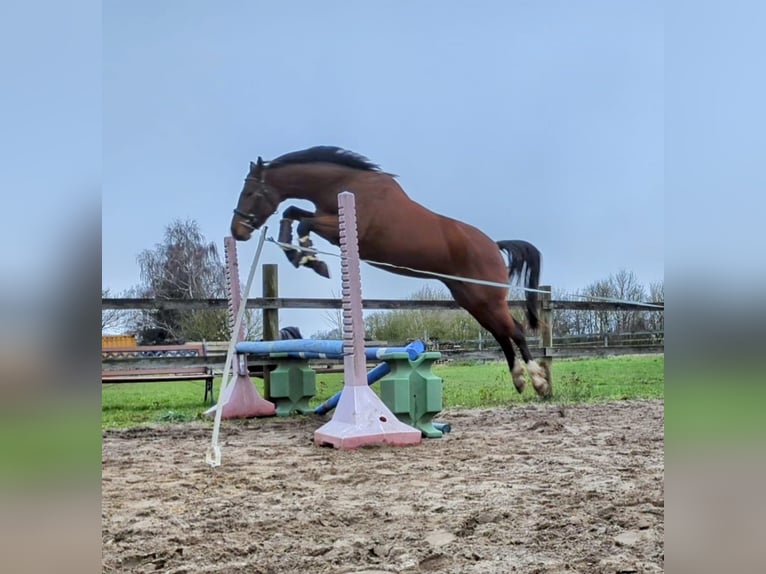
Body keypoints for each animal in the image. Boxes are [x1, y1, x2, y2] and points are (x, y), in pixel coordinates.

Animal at [230, 146, 552, 398]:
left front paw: (310, 259)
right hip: (472, 300)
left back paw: (538, 383)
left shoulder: (338, 229)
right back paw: (520, 380)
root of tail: (493, 246)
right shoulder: (324, 218)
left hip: (487, 299)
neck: (344, 182)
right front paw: (299, 255)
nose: (237, 232)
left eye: (250, 192)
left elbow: (302, 222)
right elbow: (292, 213)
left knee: (515, 331)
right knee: (502, 334)